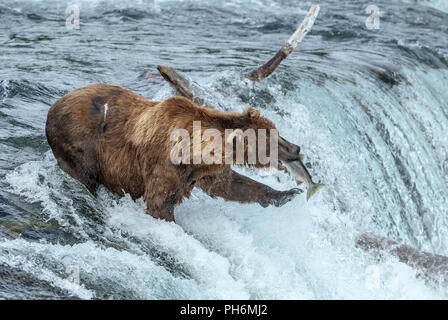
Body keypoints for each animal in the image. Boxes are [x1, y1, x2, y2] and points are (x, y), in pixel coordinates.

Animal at [45, 84, 302, 221]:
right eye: (273, 140)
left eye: (277, 133)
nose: (296, 148)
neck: (194, 153)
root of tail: (54, 104)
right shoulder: (165, 164)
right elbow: (159, 204)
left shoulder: (201, 171)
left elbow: (230, 186)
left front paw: (287, 194)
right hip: (79, 141)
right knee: (84, 175)